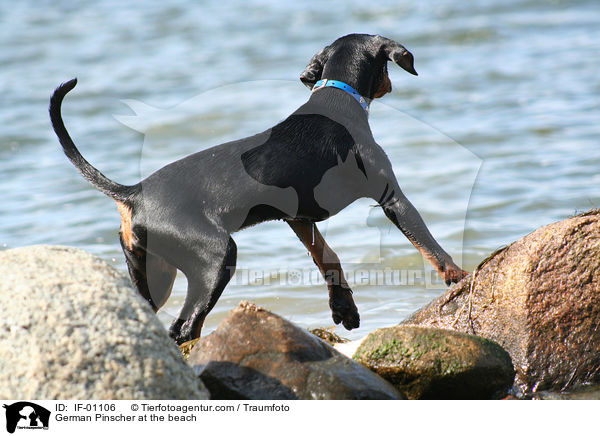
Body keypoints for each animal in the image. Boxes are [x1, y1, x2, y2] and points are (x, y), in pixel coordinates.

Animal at [49, 33, 468, 344]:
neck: (337, 97)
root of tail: (132, 193)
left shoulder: (298, 217)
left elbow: (327, 257)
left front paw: (343, 308)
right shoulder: (390, 195)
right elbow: (428, 243)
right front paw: (459, 278)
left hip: (153, 274)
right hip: (216, 258)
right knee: (184, 327)